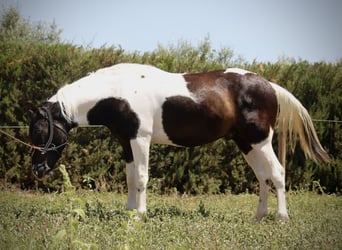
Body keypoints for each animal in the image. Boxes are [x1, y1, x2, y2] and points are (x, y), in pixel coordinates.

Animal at [29, 63, 328, 221]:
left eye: (41, 132)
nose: (37, 170)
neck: (119, 91)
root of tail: (269, 86)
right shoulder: (127, 142)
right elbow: (130, 178)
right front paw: (129, 212)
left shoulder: (141, 139)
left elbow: (141, 178)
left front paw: (140, 215)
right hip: (246, 143)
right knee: (262, 176)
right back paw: (259, 216)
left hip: (261, 140)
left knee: (276, 173)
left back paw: (281, 218)